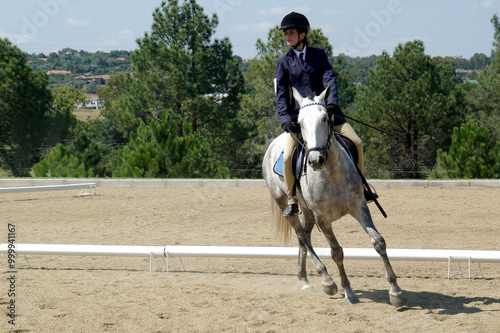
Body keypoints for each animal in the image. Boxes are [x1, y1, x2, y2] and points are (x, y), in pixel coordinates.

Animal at [262, 84, 406, 304]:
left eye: (325, 118)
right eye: (299, 123)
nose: (315, 160)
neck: (331, 173)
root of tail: (272, 144)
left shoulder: (359, 207)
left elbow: (379, 242)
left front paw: (395, 291)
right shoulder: (323, 218)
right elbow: (336, 251)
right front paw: (348, 292)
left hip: (308, 212)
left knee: (304, 237)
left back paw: (304, 279)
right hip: (284, 203)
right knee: (302, 236)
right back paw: (326, 281)